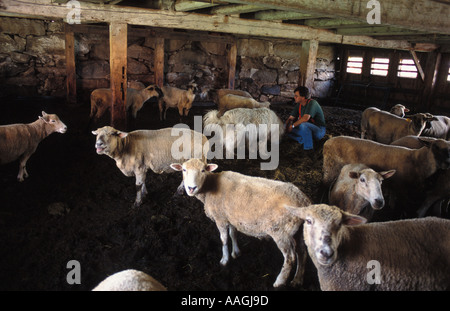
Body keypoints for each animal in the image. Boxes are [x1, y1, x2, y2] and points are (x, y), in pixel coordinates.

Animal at [170, 160, 312, 288]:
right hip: (299, 230)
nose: (190, 188)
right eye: (183, 170)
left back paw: (279, 282)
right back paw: (297, 280)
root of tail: (303, 201)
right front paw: (236, 253)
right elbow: (233, 234)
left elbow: (224, 239)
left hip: (281, 232)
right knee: (302, 252)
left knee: (290, 258)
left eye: (203, 170)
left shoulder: (220, 218)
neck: (209, 187)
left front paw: (225, 260)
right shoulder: (231, 217)